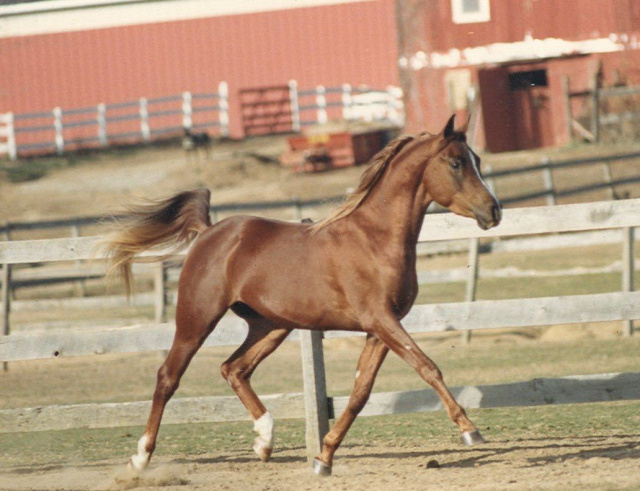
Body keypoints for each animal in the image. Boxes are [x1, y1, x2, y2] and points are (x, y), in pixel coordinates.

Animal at [104, 115, 500, 476]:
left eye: (477, 160)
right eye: (456, 162)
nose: (494, 211)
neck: (374, 239)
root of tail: (208, 232)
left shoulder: (380, 329)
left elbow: (360, 393)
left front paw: (323, 458)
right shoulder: (380, 319)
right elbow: (427, 367)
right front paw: (470, 431)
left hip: (270, 326)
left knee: (234, 368)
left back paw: (264, 441)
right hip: (196, 320)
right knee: (168, 376)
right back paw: (141, 457)